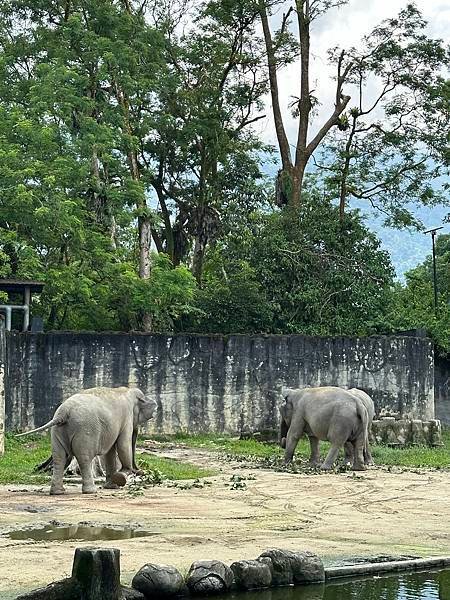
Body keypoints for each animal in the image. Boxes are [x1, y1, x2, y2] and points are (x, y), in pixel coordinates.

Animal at [16, 386, 157, 494]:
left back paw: (58, 492)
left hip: (57, 432)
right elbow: (122, 445)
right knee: (84, 459)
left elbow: (110, 452)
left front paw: (112, 486)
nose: (140, 471)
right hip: (85, 431)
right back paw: (91, 491)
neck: (127, 390)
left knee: (59, 458)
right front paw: (121, 477)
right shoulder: (126, 417)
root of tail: (63, 413)